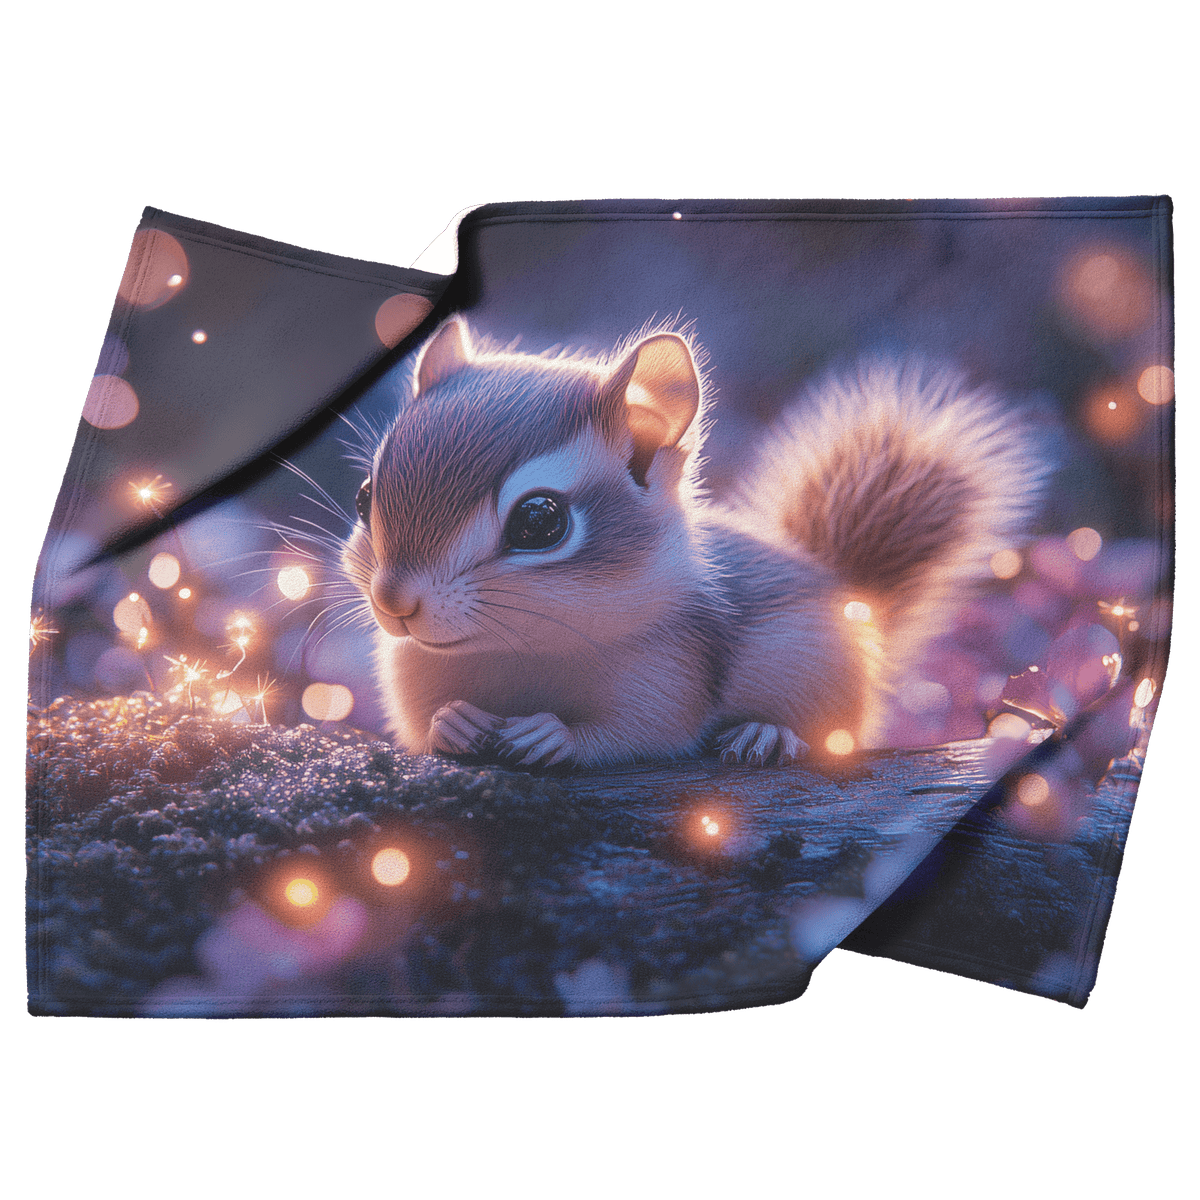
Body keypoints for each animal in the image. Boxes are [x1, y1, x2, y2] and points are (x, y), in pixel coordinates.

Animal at [341, 316, 1048, 768]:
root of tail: (856, 600)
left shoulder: (670, 676)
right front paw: (453, 722)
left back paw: (765, 734)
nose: (394, 602)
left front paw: (553, 737)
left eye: (539, 521)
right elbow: (422, 726)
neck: (517, 650)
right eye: (364, 495)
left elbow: (641, 733)